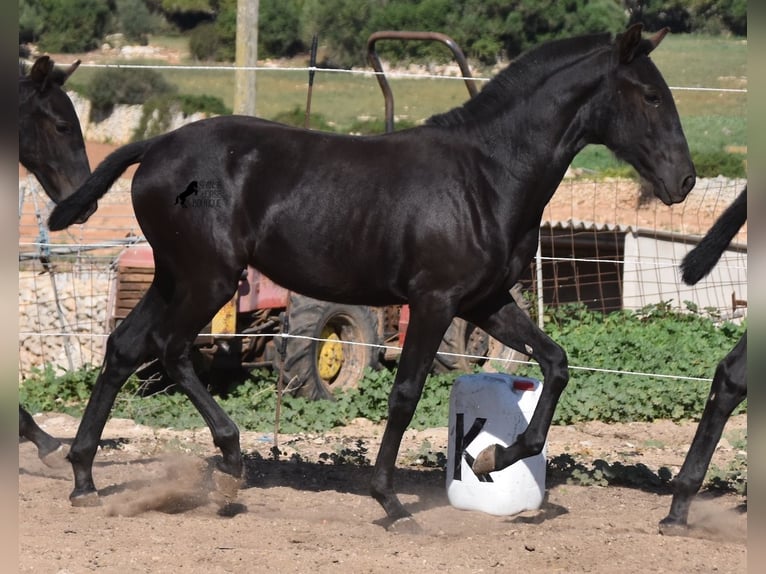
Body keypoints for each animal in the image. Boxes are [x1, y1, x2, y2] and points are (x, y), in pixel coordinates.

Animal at [46, 25, 696, 532]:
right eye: (649, 95)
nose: (684, 180)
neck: (487, 175)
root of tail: (157, 145)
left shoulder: (485, 301)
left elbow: (556, 364)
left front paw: (491, 460)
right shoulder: (435, 301)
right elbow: (405, 394)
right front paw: (390, 501)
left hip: (174, 276)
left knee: (125, 347)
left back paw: (84, 479)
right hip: (208, 279)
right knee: (172, 348)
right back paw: (229, 460)